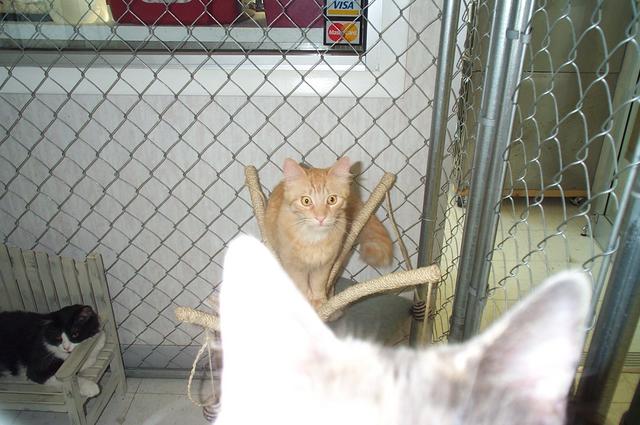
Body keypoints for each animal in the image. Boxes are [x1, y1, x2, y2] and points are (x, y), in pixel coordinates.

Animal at [265, 157, 393, 309]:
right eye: (306, 201)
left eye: (332, 199)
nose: (321, 218)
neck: (314, 239)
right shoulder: (293, 265)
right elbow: (301, 285)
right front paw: (305, 302)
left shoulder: (325, 264)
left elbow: (318, 284)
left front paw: (319, 301)